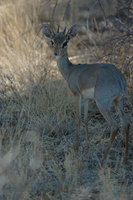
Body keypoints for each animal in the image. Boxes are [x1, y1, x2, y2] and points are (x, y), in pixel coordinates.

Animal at [43, 23, 130, 164]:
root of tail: (120, 78)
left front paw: (76, 147)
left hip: (102, 104)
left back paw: (103, 159)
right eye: (52, 41)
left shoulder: (77, 95)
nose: (56, 53)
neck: (71, 71)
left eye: (65, 42)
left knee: (115, 126)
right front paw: (88, 145)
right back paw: (125, 158)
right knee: (126, 123)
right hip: (118, 101)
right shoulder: (86, 99)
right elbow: (85, 119)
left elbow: (78, 118)